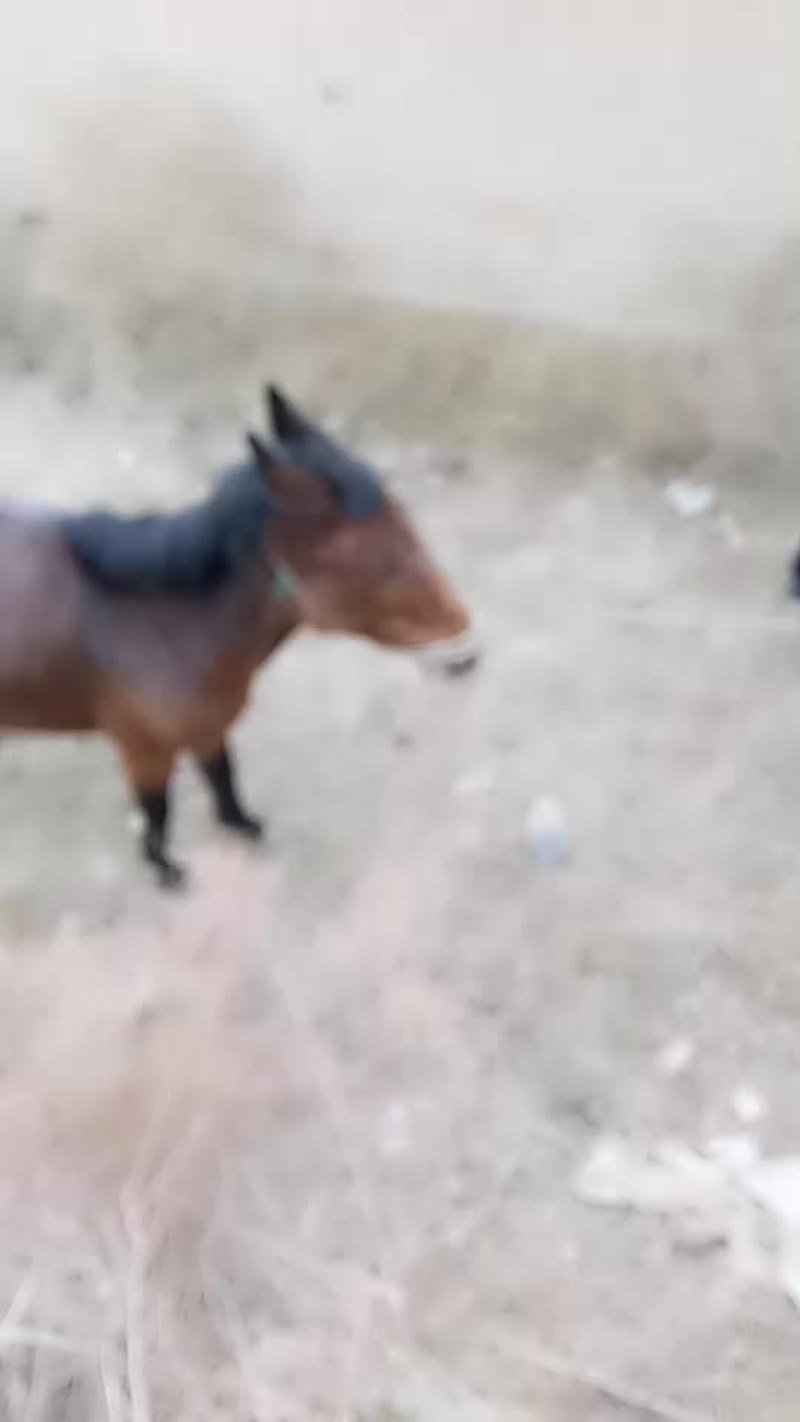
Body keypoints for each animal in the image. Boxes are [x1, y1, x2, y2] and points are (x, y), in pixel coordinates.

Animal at [0, 386, 478, 887]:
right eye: (365, 555)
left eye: (406, 519)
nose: (466, 649)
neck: (165, 622)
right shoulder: (143, 748)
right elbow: (157, 810)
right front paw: (166, 869)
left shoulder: (210, 723)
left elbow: (223, 776)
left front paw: (244, 826)